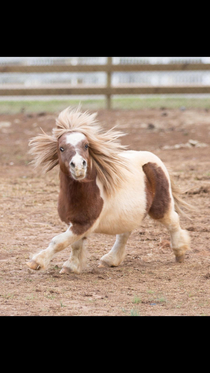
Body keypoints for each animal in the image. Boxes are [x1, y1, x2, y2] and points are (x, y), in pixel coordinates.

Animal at [26, 106, 190, 272]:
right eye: (61, 148)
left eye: (86, 146)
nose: (78, 167)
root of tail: (154, 158)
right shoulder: (74, 222)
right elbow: (75, 244)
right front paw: (71, 266)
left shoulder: (85, 223)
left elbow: (59, 241)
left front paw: (37, 262)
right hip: (130, 213)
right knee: (124, 233)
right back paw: (110, 260)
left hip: (160, 207)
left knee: (173, 221)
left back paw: (180, 252)